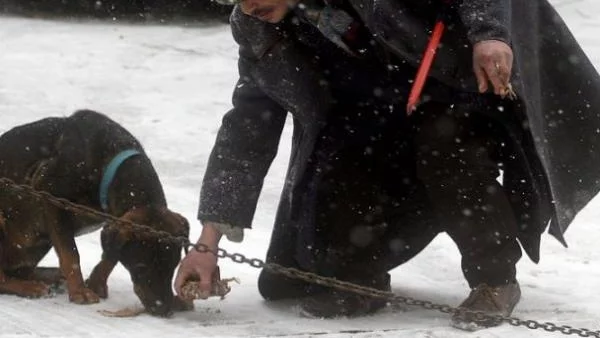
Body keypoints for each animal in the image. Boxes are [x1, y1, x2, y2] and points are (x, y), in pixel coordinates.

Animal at [0, 109, 190, 316]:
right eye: (140, 267)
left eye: (173, 266)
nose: (164, 308)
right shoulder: (51, 195)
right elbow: (70, 253)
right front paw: (79, 291)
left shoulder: (114, 218)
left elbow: (111, 255)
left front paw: (96, 282)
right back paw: (30, 287)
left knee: (22, 269)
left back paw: (51, 277)